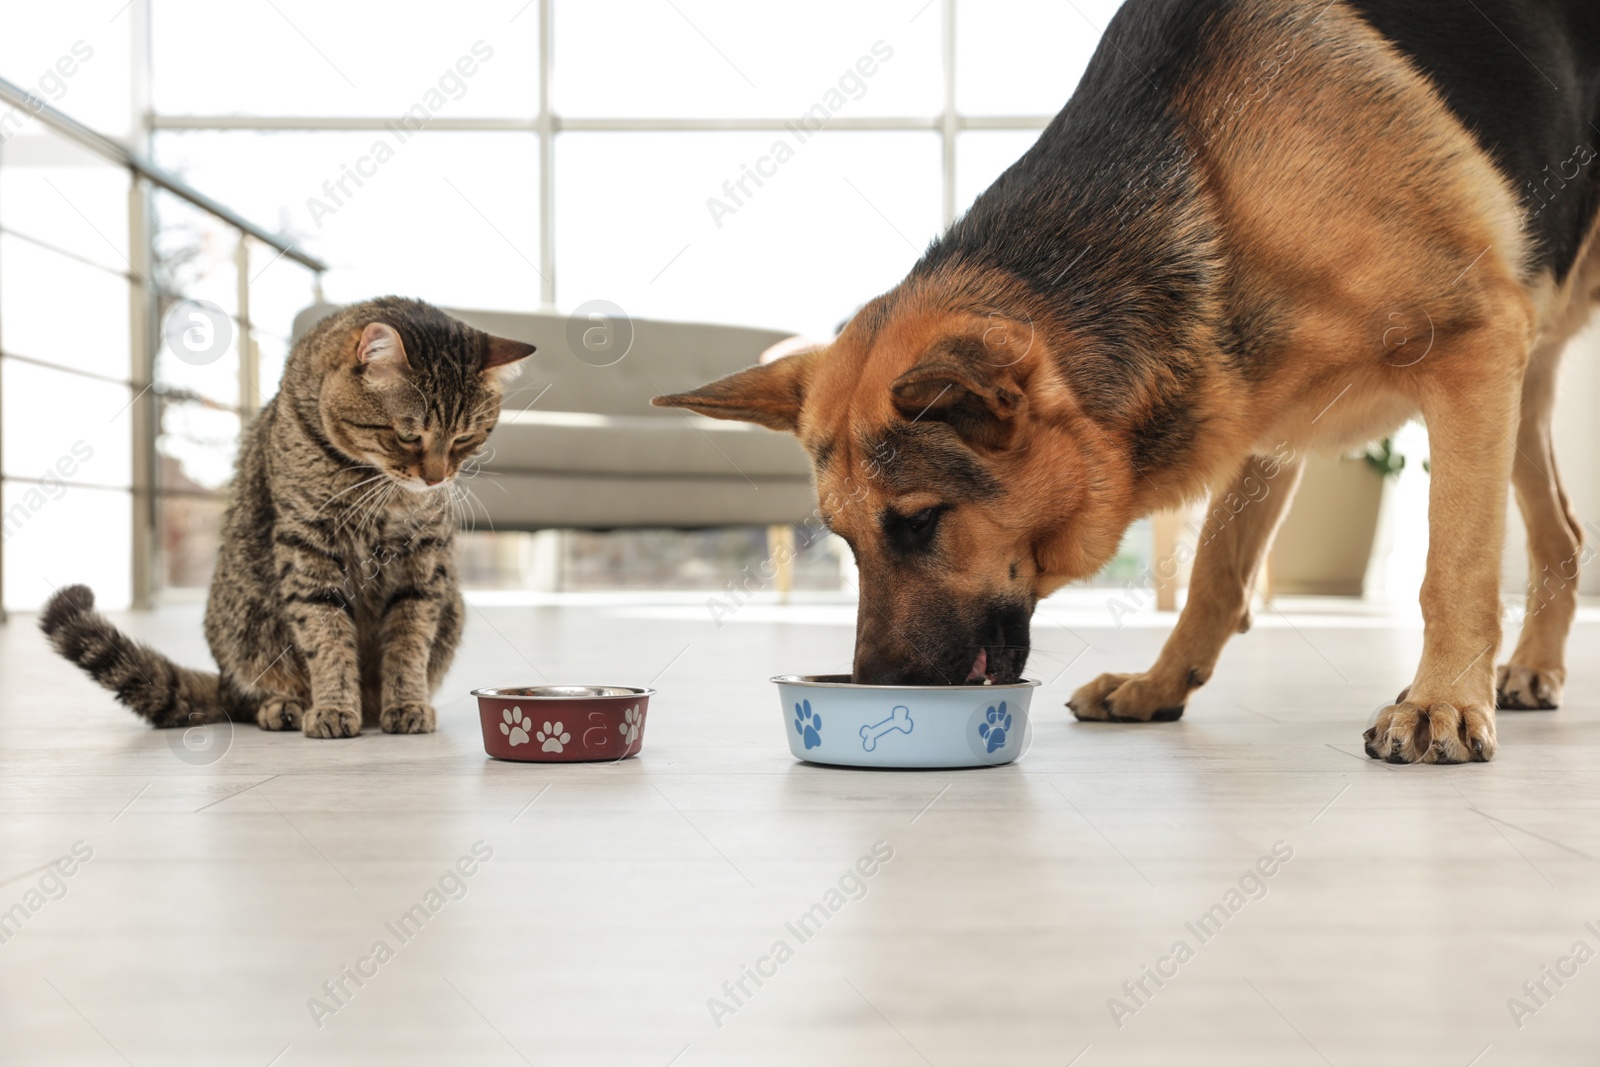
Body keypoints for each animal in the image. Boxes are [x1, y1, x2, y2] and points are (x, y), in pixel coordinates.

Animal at [37, 295, 534, 739]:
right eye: (408, 435)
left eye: (465, 438)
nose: (436, 478)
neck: (375, 487)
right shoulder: (308, 548)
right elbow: (326, 636)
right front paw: (334, 706)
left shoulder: (423, 558)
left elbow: (409, 640)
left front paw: (407, 702)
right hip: (246, 616)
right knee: (252, 693)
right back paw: (286, 706)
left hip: (451, 601)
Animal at [652, 2, 1600, 767]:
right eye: (844, 540)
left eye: (920, 522)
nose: (876, 685)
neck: (1211, 172)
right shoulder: (1260, 417)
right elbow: (1217, 572)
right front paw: (1159, 683)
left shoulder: (1473, 349)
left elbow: (1456, 564)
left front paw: (1440, 700)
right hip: (1515, 395)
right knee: (1563, 531)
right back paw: (1531, 666)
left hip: (1505, 376)